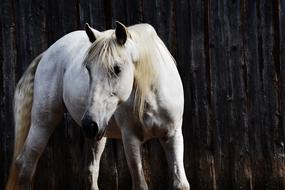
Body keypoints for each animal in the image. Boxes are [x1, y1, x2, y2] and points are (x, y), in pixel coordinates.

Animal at [5, 21, 189, 189]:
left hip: (97, 135)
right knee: (26, 164)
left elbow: (181, 184)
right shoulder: (130, 139)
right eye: (88, 68)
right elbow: (140, 185)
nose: (89, 124)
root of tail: (47, 53)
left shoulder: (173, 136)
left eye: (117, 69)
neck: (151, 97)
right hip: (44, 122)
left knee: (90, 172)